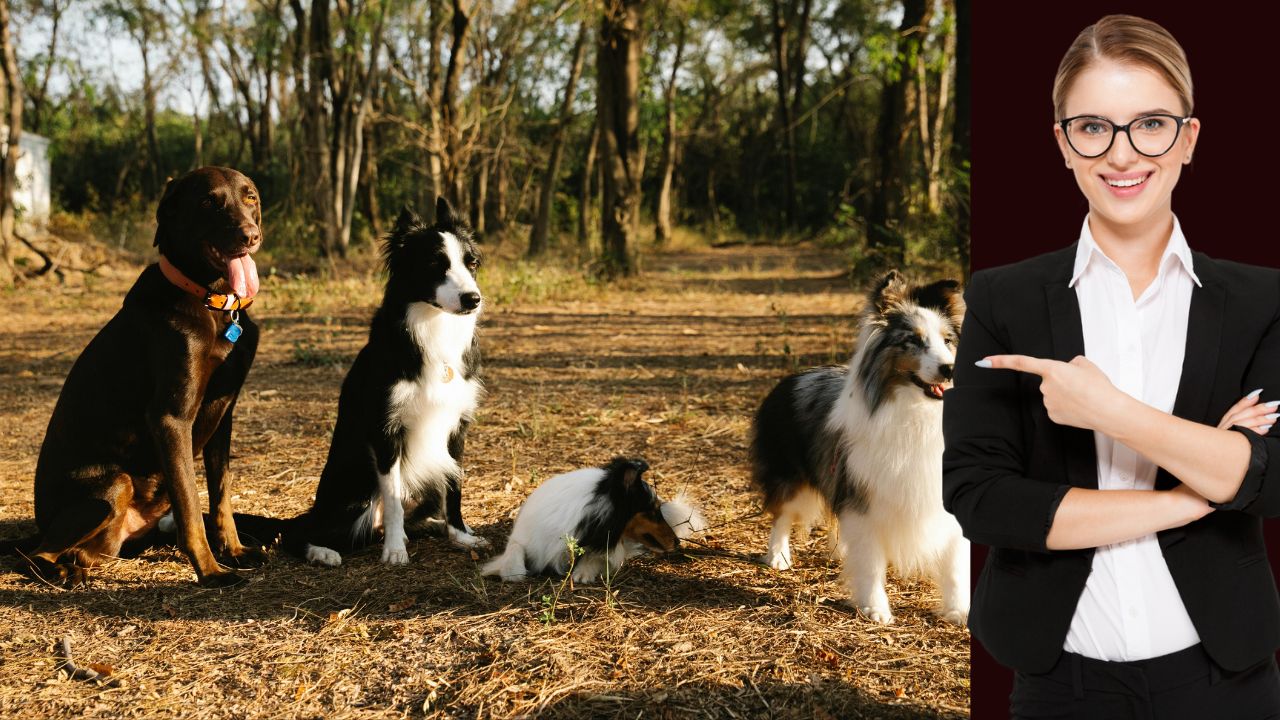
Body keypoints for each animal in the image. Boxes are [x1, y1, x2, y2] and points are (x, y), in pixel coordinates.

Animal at [3, 165, 264, 586]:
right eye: (208, 201)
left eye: (250, 197)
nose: (250, 236)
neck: (214, 305)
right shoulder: (171, 419)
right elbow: (191, 507)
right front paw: (211, 571)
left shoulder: (224, 413)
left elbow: (221, 496)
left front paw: (235, 552)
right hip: (112, 485)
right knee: (33, 554)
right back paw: (61, 572)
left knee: (82, 553)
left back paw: (77, 565)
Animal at [747, 269, 967, 622]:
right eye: (912, 341)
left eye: (948, 341)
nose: (950, 368)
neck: (917, 412)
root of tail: (790, 377)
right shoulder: (863, 495)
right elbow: (871, 561)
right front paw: (875, 608)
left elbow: (955, 563)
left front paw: (959, 610)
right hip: (790, 475)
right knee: (782, 514)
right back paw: (778, 556)